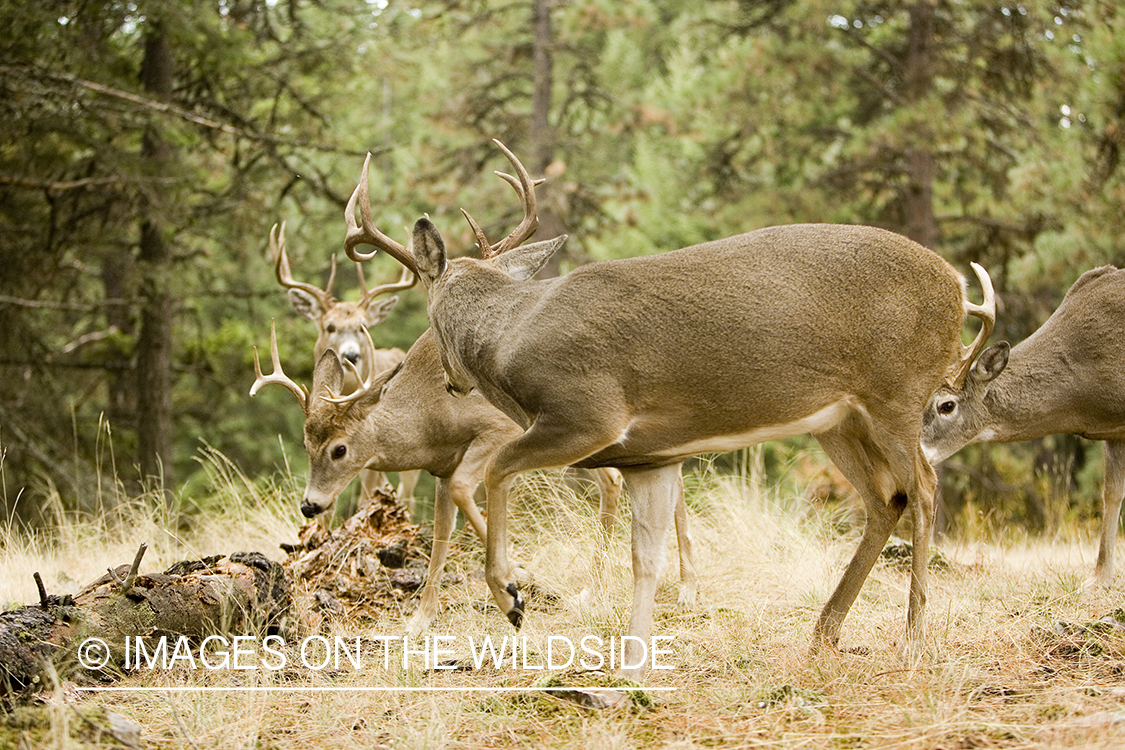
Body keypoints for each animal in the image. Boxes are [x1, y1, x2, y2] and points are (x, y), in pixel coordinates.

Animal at [250, 319, 697, 638]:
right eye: (306, 444)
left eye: (339, 449)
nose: (310, 504)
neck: (429, 417)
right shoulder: (442, 467)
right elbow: (441, 531)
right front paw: (421, 620)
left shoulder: (495, 430)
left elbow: (467, 494)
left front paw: (518, 584)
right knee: (634, 477)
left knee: (631, 478)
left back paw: (676, 588)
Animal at [339, 137, 994, 679]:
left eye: (429, 318)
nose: (452, 383)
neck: (509, 337)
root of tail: (958, 287)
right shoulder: (649, 457)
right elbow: (645, 558)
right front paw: (633, 664)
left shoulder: (586, 413)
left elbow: (497, 470)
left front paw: (511, 596)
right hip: (838, 419)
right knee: (887, 499)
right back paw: (823, 633)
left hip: (896, 393)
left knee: (925, 489)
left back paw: (912, 638)